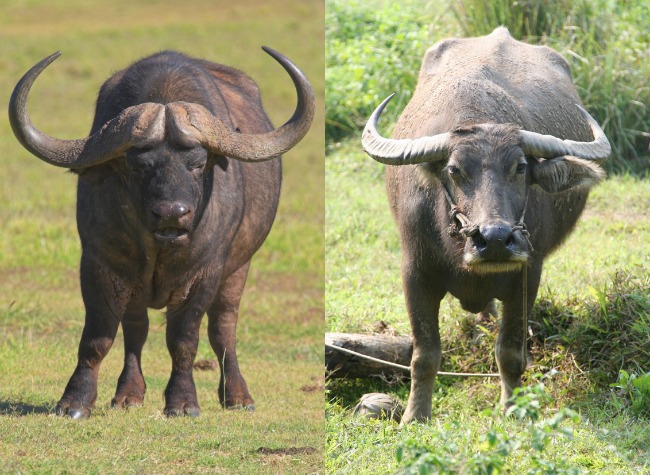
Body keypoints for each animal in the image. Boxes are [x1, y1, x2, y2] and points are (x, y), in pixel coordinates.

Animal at [9, 48, 314, 418]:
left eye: (198, 163)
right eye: (137, 165)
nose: (172, 214)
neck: (157, 247)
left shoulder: (206, 272)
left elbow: (183, 339)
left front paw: (182, 402)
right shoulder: (98, 264)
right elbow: (98, 338)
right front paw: (75, 402)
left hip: (238, 268)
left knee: (223, 328)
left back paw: (238, 397)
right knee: (135, 329)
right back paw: (128, 395)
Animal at [362, 27, 610, 423]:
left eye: (520, 167)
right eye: (454, 169)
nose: (494, 239)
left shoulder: (527, 275)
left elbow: (509, 350)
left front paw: (512, 406)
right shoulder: (414, 274)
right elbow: (424, 355)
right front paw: (415, 415)